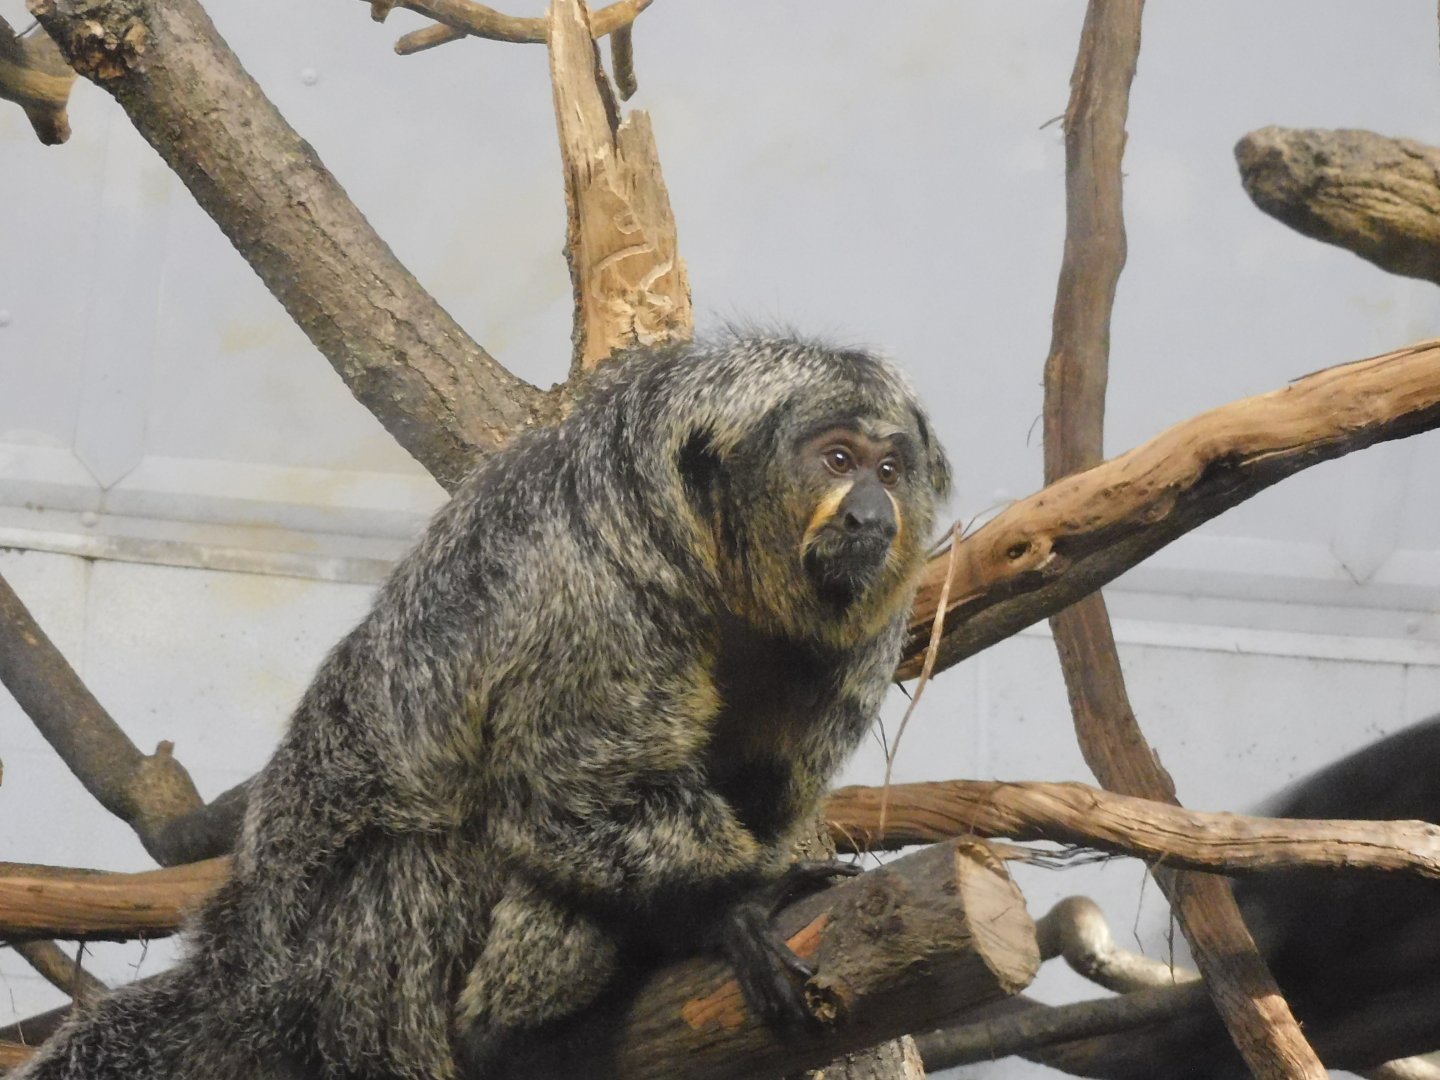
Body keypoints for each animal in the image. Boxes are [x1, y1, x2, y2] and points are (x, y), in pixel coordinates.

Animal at [12, 333, 951, 1080]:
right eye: (837, 460)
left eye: (890, 470)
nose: (873, 514)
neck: (718, 560)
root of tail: (246, 976)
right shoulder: (591, 591)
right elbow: (569, 791)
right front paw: (730, 908)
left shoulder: (861, 638)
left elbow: (760, 788)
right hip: (363, 983)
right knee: (437, 856)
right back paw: (517, 1032)